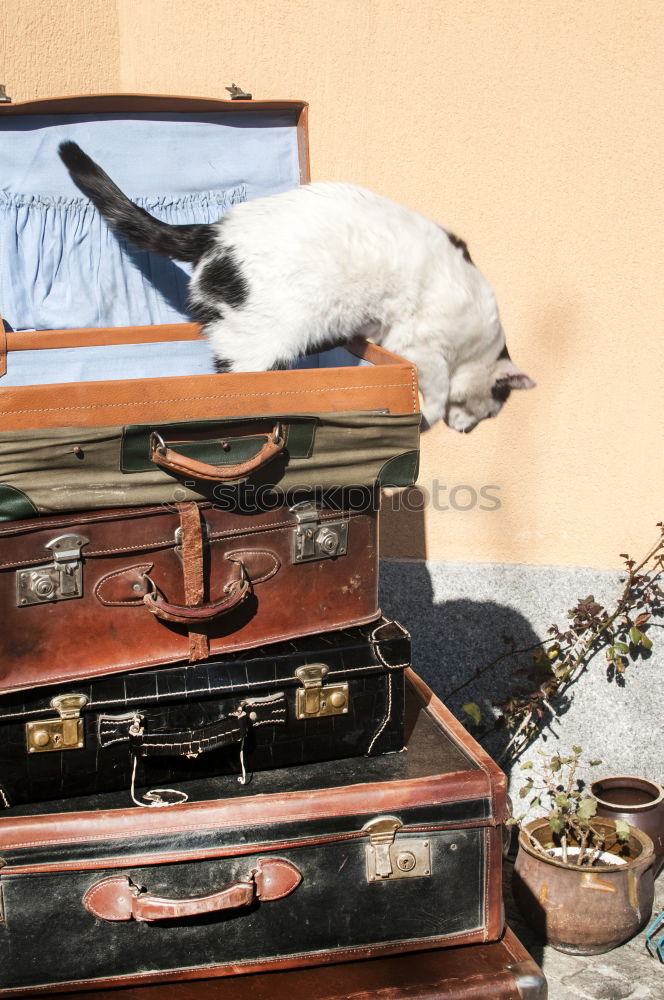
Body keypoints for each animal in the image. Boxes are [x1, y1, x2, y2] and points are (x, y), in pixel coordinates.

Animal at [57, 141, 536, 430]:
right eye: (491, 414)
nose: (468, 431)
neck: (475, 345)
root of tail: (213, 231)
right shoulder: (425, 345)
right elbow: (433, 386)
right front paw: (429, 417)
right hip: (259, 344)